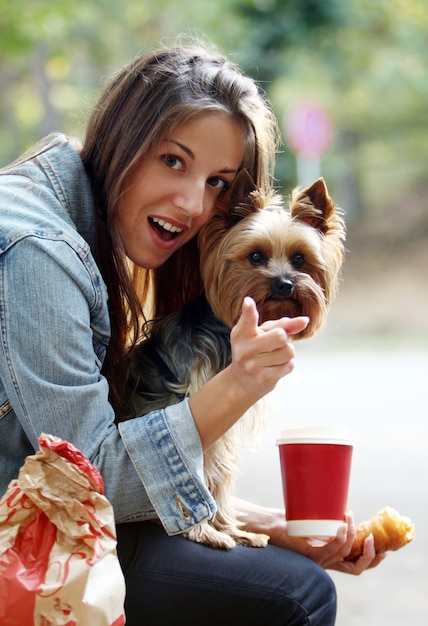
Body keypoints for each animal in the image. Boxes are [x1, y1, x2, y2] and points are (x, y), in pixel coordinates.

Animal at [119, 169, 344, 544]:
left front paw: (231, 528)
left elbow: (219, 472)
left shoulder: (224, 424)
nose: (284, 284)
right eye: (255, 257)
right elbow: (194, 468)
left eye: (299, 259)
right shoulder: (190, 407)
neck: (226, 332)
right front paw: (203, 531)